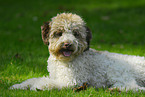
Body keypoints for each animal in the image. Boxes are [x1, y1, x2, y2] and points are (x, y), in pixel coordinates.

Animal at [10, 12, 145, 91]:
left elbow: (44, 81)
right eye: (59, 33)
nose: (67, 44)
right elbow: (33, 79)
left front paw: (38, 86)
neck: (63, 61)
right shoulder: (54, 76)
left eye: (76, 34)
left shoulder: (71, 81)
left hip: (118, 70)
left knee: (133, 87)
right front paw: (18, 86)